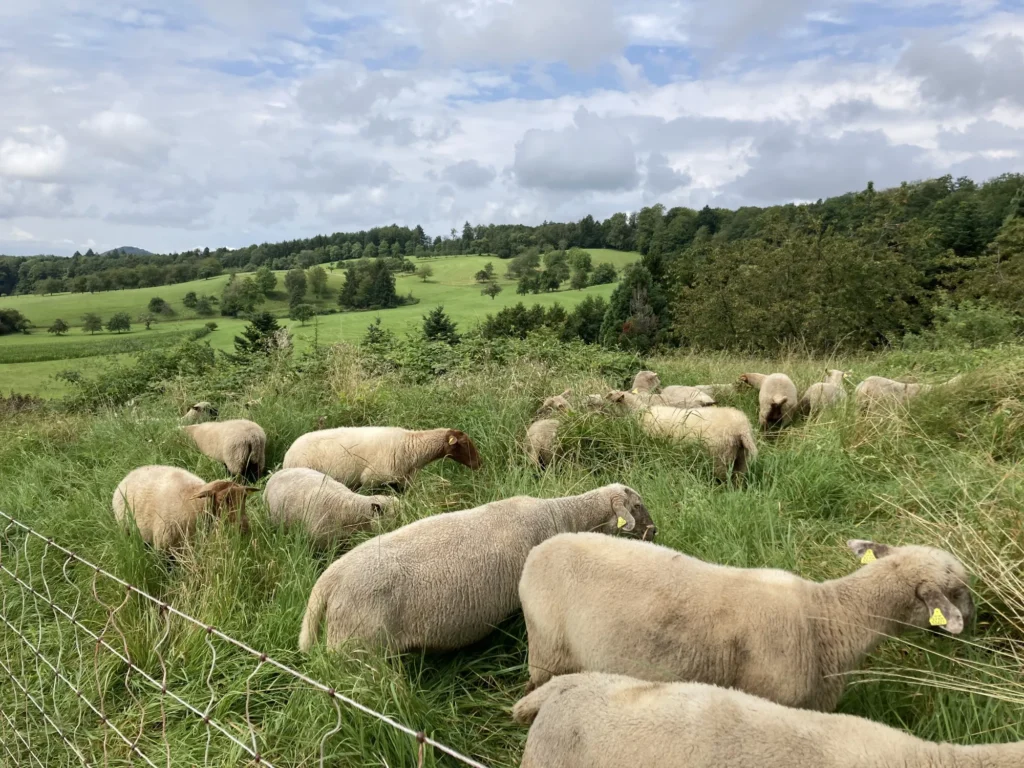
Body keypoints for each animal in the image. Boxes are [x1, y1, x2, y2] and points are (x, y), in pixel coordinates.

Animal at [112, 466, 254, 551]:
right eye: (221, 500)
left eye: (245, 497)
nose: (244, 528)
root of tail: (130, 474)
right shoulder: (164, 548)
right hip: (126, 529)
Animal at [283, 426, 481, 490]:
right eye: (464, 444)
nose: (479, 464)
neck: (411, 448)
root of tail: (288, 453)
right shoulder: (371, 479)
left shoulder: (402, 482)